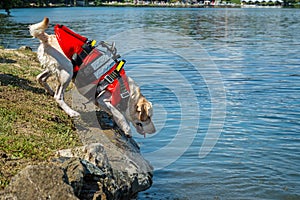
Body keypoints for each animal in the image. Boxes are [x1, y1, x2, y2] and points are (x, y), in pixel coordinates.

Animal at [28, 17, 156, 138]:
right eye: (148, 117)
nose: (154, 131)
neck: (127, 92)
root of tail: (48, 37)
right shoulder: (103, 99)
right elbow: (120, 115)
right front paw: (127, 130)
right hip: (68, 71)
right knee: (58, 96)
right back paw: (71, 112)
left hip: (56, 68)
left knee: (40, 78)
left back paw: (50, 90)